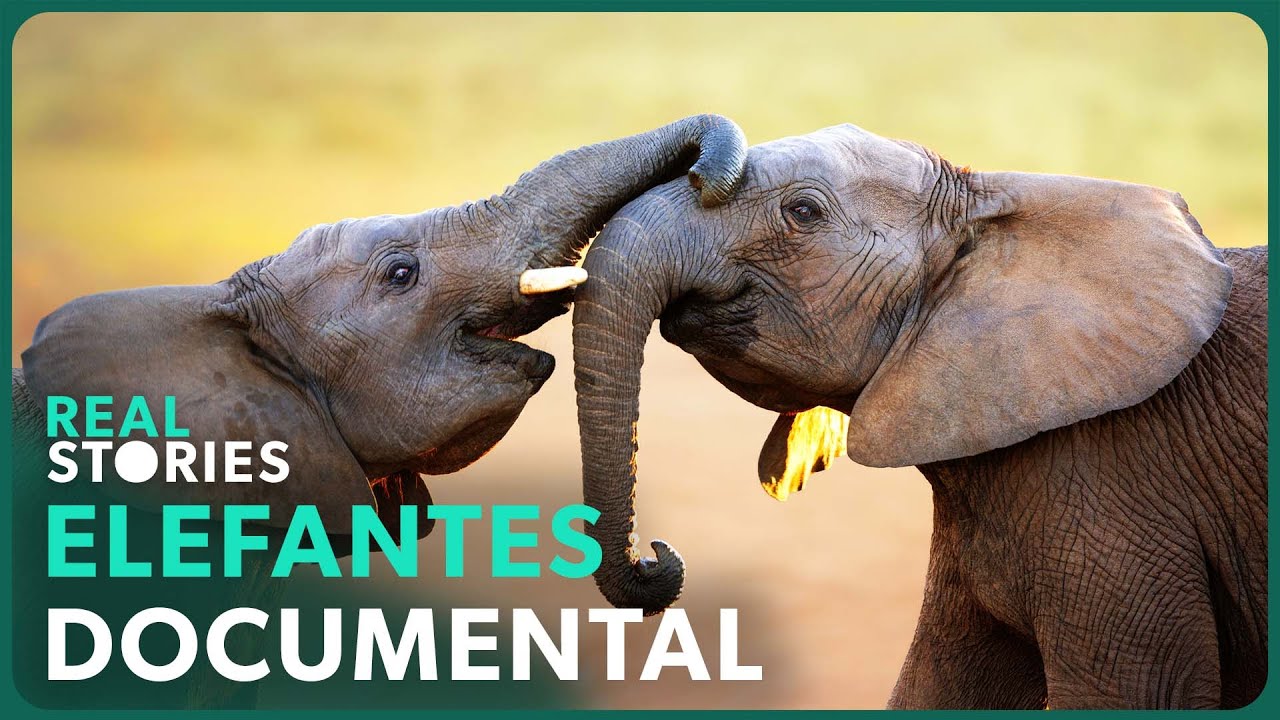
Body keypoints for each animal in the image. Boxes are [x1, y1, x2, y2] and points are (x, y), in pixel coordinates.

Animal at [570, 123, 1266, 709]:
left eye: (803, 212)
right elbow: (939, 683)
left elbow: (1138, 692)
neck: (993, 208)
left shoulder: (1116, 482)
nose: (656, 555)